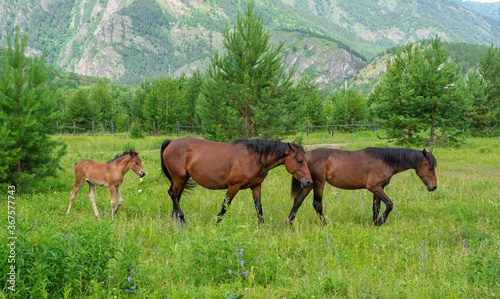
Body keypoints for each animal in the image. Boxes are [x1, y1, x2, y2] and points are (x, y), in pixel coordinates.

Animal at [160, 137, 310, 224]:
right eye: (300, 160)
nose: (308, 181)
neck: (253, 156)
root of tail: (172, 142)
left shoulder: (256, 186)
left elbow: (259, 208)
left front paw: (262, 229)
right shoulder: (233, 186)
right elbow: (224, 206)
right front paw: (215, 224)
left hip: (183, 179)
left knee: (176, 196)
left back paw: (175, 221)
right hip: (179, 178)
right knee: (172, 194)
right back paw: (181, 218)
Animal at [288, 146, 436, 226]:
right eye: (429, 167)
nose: (434, 187)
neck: (385, 161)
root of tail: (305, 155)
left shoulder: (378, 189)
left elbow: (376, 208)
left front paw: (374, 224)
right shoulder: (375, 187)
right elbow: (389, 205)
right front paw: (379, 222)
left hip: (308, 184)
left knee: (297, 201)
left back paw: (288, 224)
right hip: (318, 183)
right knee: (317, 204)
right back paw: (325, 225)